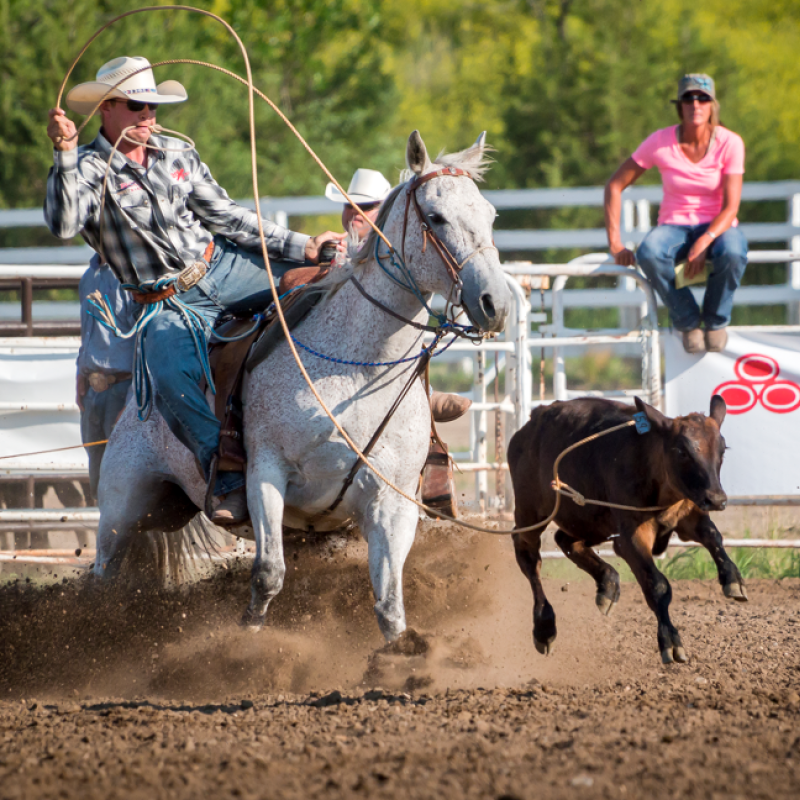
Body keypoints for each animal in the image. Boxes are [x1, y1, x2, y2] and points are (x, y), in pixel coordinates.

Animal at [90, 133, 510, 644]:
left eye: (490, 214)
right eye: (436, 216)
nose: (495, 303)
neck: (359, 370)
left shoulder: (392, 503)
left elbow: (389, 601)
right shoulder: (266, 474)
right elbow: (268, 574)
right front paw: (248, 641)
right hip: (124, 504)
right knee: (103, 574)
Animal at [510, 394, 748, 664]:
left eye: (722, 449)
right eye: (681, 450)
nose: (717, 499)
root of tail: (533, 420)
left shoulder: (689, 511)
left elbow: (713, 536)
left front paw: (733, 578)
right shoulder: (631, 538)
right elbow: (658, 585)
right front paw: (670, 641)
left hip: (590, 519)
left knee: (566, 540)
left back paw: (608, 584)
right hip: (531, 512)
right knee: (529, 556)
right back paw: (544, 627)